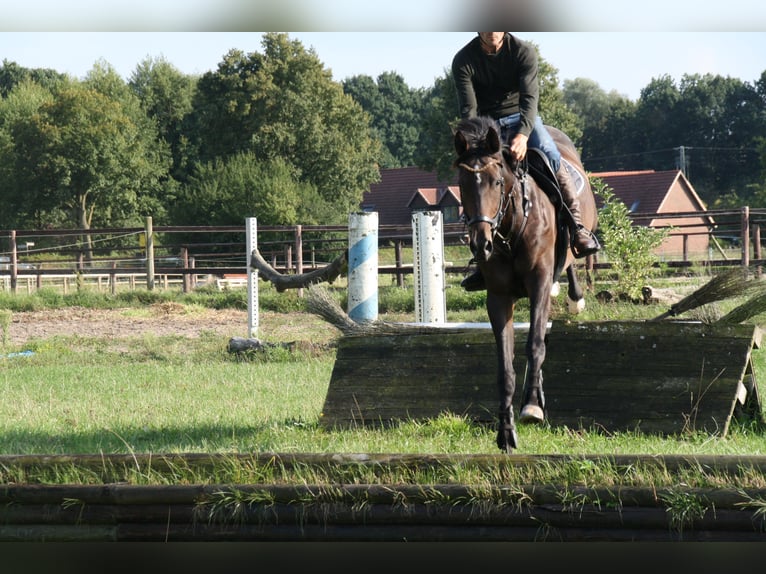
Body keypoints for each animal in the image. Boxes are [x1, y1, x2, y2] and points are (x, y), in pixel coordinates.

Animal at [456, 117, 600, 454]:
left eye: (497, 182)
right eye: (462, 184)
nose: (481, 244)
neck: (511, 228)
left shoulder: (539, 285)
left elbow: (535, 344)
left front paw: (532, 406)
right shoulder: (498, 298)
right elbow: (505, 366)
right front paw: (505, 432)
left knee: (572, 258)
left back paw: (575, 296)